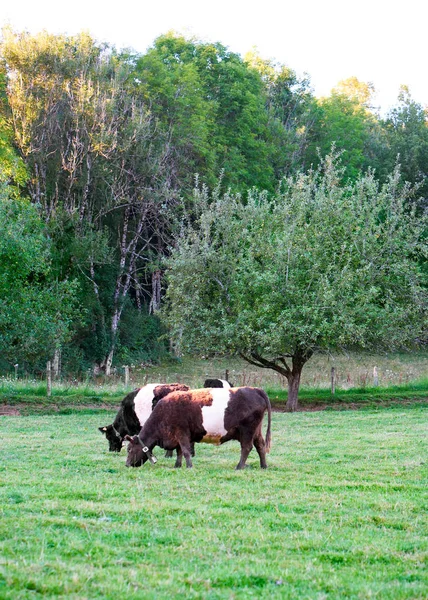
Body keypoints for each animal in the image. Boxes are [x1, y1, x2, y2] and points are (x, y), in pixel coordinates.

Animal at [124, 386, 270, 472]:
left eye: (129, 449)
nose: (127, 464)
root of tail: (255, 389)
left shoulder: (182, 432)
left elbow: (185, 451)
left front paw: (189, 466)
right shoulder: (178, 436)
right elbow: (179, 451)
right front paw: (177, 465)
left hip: (247, 430)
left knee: (246, 447)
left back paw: (239, 467)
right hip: (256, 431)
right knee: (260, 445)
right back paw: (263, 466)